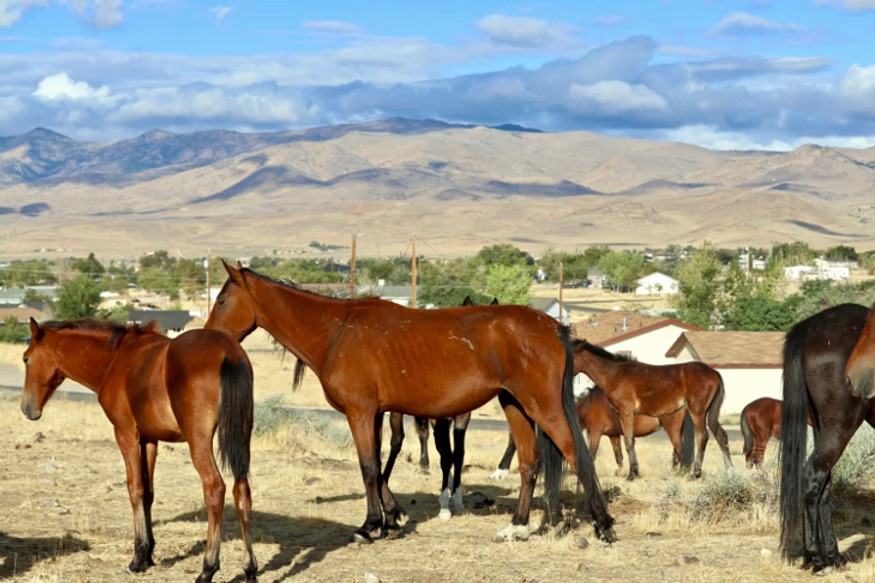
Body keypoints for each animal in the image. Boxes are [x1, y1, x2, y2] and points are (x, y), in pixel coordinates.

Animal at [19, 318, 257, 583]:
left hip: (199, 441)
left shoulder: (126, 434)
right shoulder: (150, 439)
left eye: (26, 359)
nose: (27, 408)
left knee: (215, 489)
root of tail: (229, 351)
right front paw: (149, 554)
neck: (117, 358)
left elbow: (135, 489)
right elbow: (149, 491)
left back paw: (208, 568)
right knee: (242, 491)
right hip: (241, 438)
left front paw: (138, 557)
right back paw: (250, 568)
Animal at [206, 261, 615, 544]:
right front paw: (391, 516)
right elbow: (378, 465)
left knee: (575, 454)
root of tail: (553, 326)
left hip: (543, 407)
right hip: (514, 404)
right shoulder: (375, 414)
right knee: (530, 463)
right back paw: (516, 526)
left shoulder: (360, 413)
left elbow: (369, 466)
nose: (208, 337)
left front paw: (370, 525)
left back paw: (603, 525)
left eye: (223, 299)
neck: (337, 330)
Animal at [491, 384, 693, 478]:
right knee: (676, 451)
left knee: (678, 448)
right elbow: (619, 455)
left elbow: (592, 453)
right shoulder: (613, 435)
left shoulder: (595, 432)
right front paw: (620, 472)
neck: (589, 405)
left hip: (671, 428)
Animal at [572, 340, 733, 480]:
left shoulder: (626, 412)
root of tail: (714, 372)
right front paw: (635, 472)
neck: (615, 374)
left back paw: (696, 474)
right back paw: (729, 471)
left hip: (697, 412)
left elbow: (629, 441)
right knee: (721, 435)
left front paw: (631, 475)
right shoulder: (620, 418)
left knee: (702, 436)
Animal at [780, 303, 875, 573]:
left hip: (822, 428)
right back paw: (817, 558)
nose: (855, 377)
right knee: (814, 476)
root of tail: (810, 326)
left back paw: (832, 554)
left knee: (823, 487)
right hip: (839, 427)